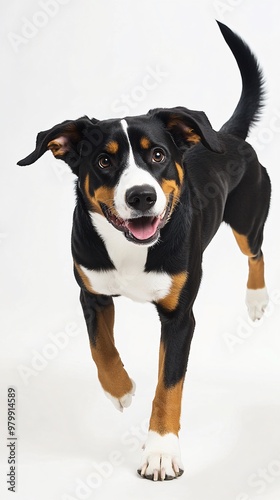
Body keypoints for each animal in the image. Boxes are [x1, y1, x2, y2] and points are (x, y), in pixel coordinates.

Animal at [18, 22, 272, 480]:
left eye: (157, 155)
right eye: (104, 161)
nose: (141, 197)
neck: (131, 248)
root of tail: (225, 134)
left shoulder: (180, 317)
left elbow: (168, 386)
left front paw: (161, 451)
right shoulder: (92, 294)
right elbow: (100, 349)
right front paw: (120, 389)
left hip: (248, 218)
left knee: (255, 251)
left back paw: (257, 299)